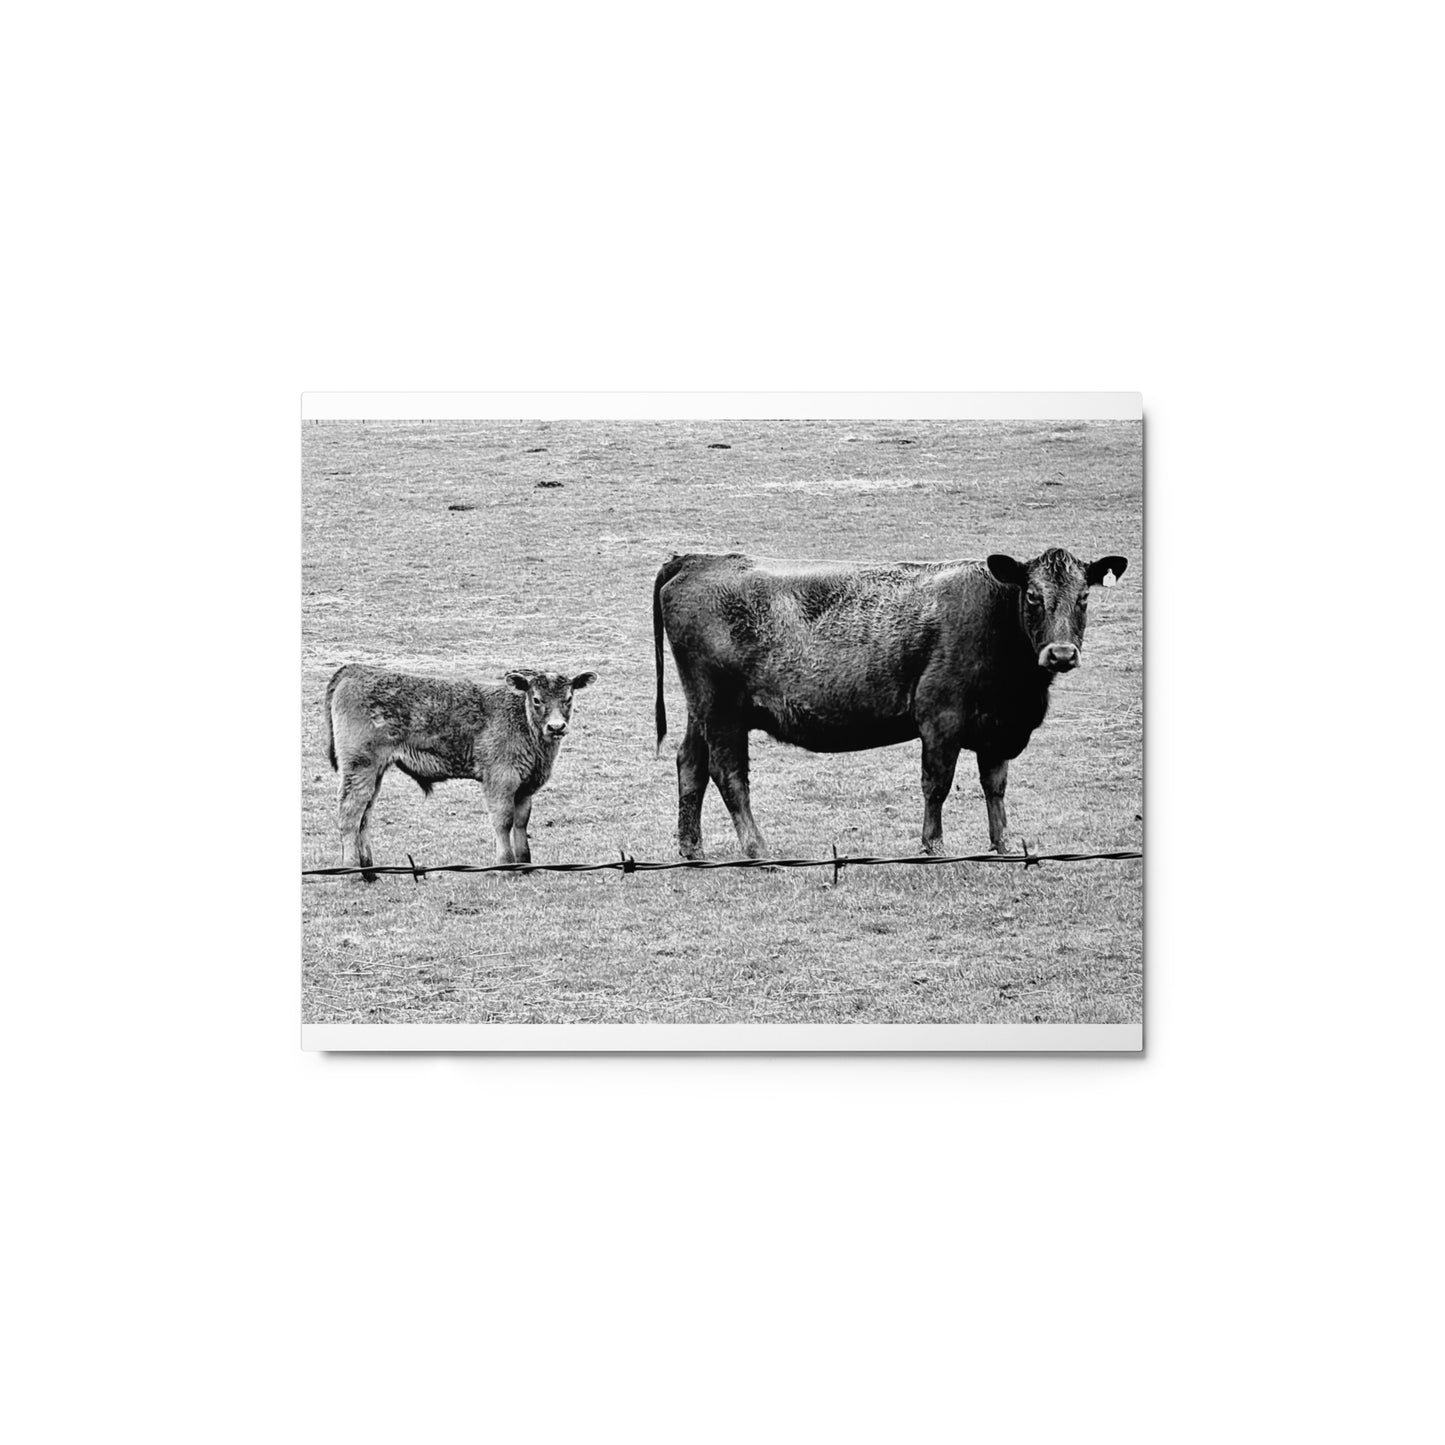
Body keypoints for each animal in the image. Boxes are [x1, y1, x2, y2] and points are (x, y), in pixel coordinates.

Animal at [324, 664, 597, 878]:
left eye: (568, 698)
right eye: (537, 699)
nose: (556, 727)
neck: (522, 721)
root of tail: (356, 669)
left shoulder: (525, 786)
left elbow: (521, 822)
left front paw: (525, 865)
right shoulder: (500, 779)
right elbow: (503, 821)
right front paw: (506, 867)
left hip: (374, 772)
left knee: (364, 815)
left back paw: (369, 871)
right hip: (360, 766)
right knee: (350, 813)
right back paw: (353, 872)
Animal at [652, 547, 1128, 859]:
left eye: (1084, 596)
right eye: (1032, 595)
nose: (1061, 654)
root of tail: (696, 559)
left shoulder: (996, 730)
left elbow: (994, 786)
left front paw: (1004, 844)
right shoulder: (941, 718)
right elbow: (936, 784)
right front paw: (934, 845)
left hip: (702, 711)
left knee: (690, 764)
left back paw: (692, 848)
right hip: (722, 711)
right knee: (728, 774)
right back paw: (758, 849)